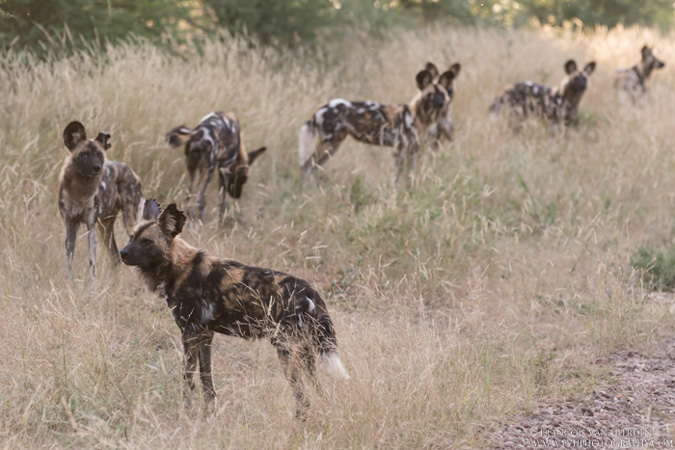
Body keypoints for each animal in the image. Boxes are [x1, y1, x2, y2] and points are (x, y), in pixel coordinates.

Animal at [58, 119, 145, 278]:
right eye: (84, 154)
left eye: (100, 154)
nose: (97, 167)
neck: (79, 192)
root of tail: (132, 172)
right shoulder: (70, 225)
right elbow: (68, 260)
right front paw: (67, 280)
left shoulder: (90, 225)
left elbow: (92, 264)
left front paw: (92, 284)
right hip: (105, 227)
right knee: (116, 257)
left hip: (129, 222)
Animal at [121, 200, 352, 418]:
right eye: (131, 237)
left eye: (146, 242)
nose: (122, 253)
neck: (178, 266)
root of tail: (309, 289)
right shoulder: (205, 335)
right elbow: (206, 379)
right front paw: (211, 413)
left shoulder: (189, 333)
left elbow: (187, 379)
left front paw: (186, 414)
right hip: (307, 350)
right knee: (318, 387)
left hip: (286, 348)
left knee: (302, 394)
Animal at [300, 65, 462, 185]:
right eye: (430, 95)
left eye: (443, 94)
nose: (442, 103)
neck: (419, 117)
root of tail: (319, 109)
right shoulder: (401, 151)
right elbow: (399, 180)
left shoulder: (413, 152)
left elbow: (409, 177)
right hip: (329, 143)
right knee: (307, 166)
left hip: (333, 146)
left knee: (313, 168)